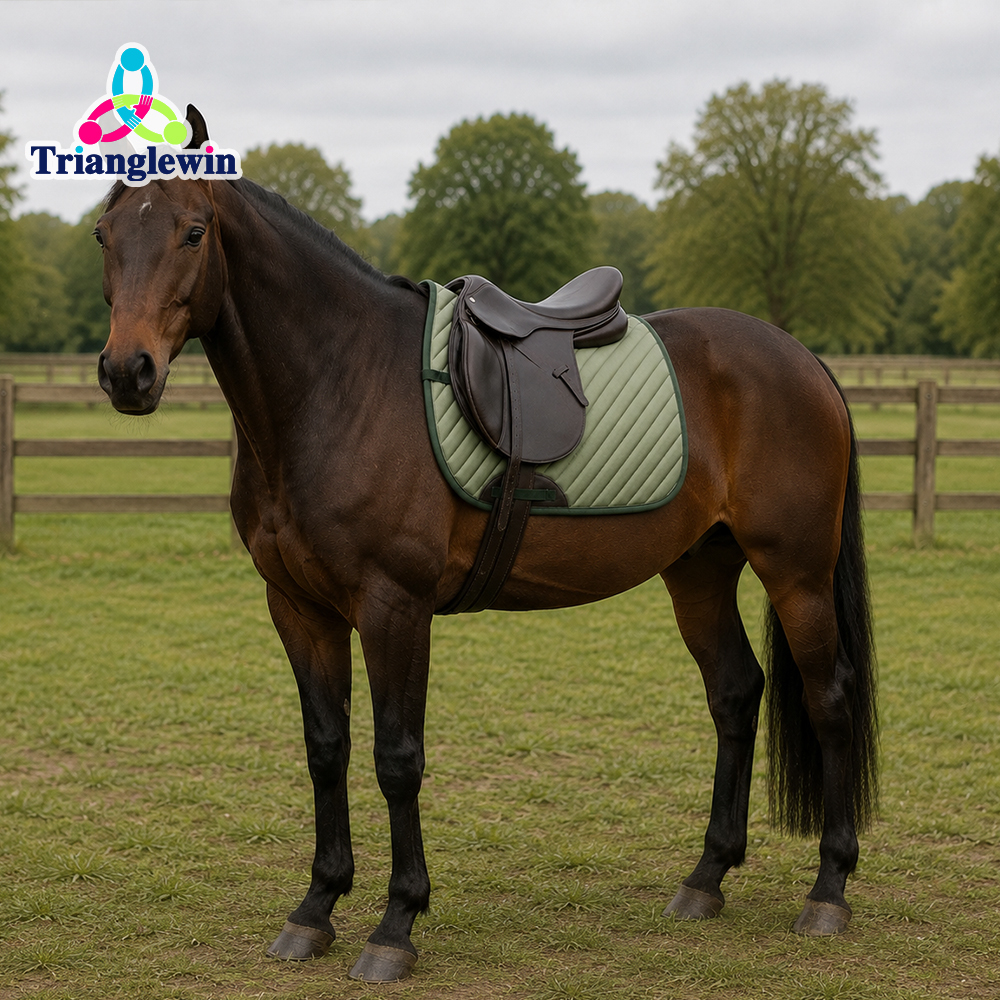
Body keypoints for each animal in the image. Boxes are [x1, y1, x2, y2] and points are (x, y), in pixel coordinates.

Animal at [93, 110, 877, 983]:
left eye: (193, 232)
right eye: (104, 236)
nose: (127, 372)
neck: (338, 381)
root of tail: (801, 359)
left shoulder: (394, 608)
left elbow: (397, 758)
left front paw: (396, 923)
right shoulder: (298, 608)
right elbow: (327, 749)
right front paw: (316, 907)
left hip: (795, 572)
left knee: (830, 699)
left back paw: (828, 890)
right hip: (699, 570)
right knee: (737, 694)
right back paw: (705, 878)